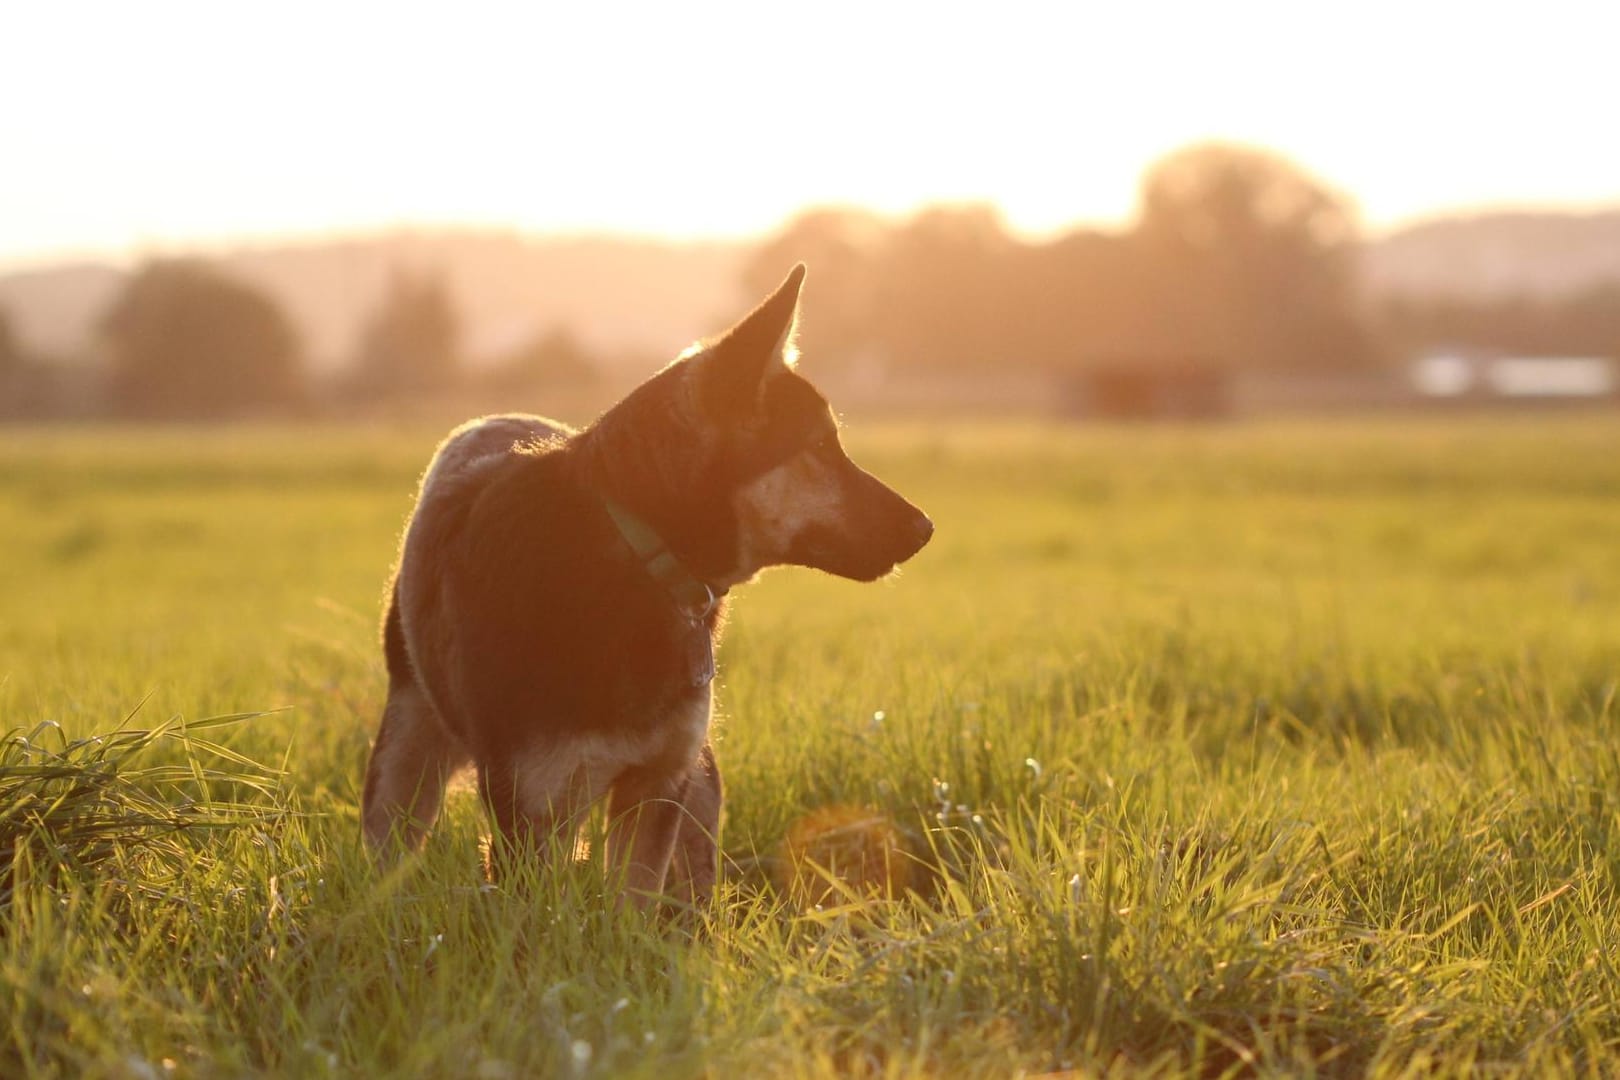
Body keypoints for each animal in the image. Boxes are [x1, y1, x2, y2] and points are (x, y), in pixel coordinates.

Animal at [361, 265, 933, 906]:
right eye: (818, 448)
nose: (925, 528)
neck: (637, 557)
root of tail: (491, 418)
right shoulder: (531, 805)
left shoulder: (657, 783)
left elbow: (633, 901)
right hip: (407, 747)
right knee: (390, 837)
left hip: (694, 774)